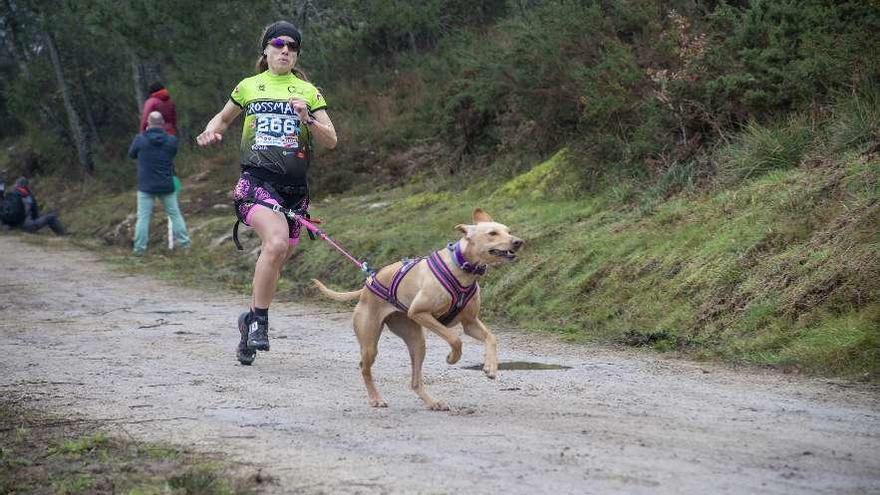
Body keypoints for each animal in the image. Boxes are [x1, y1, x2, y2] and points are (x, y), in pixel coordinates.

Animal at [314, 209, 524, 410]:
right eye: (492, 233)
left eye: (508, 231)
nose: (518, 242)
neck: (461, 268)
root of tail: (369, 282)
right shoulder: (419, 313)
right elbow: (455, 339)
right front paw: (453, 358)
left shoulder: (470, 323)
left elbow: (491, 337)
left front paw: (491, 367)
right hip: (370, 342)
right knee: (364, 368)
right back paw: (376, 399)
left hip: (416, 342)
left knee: (415, 381)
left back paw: (432, 402)